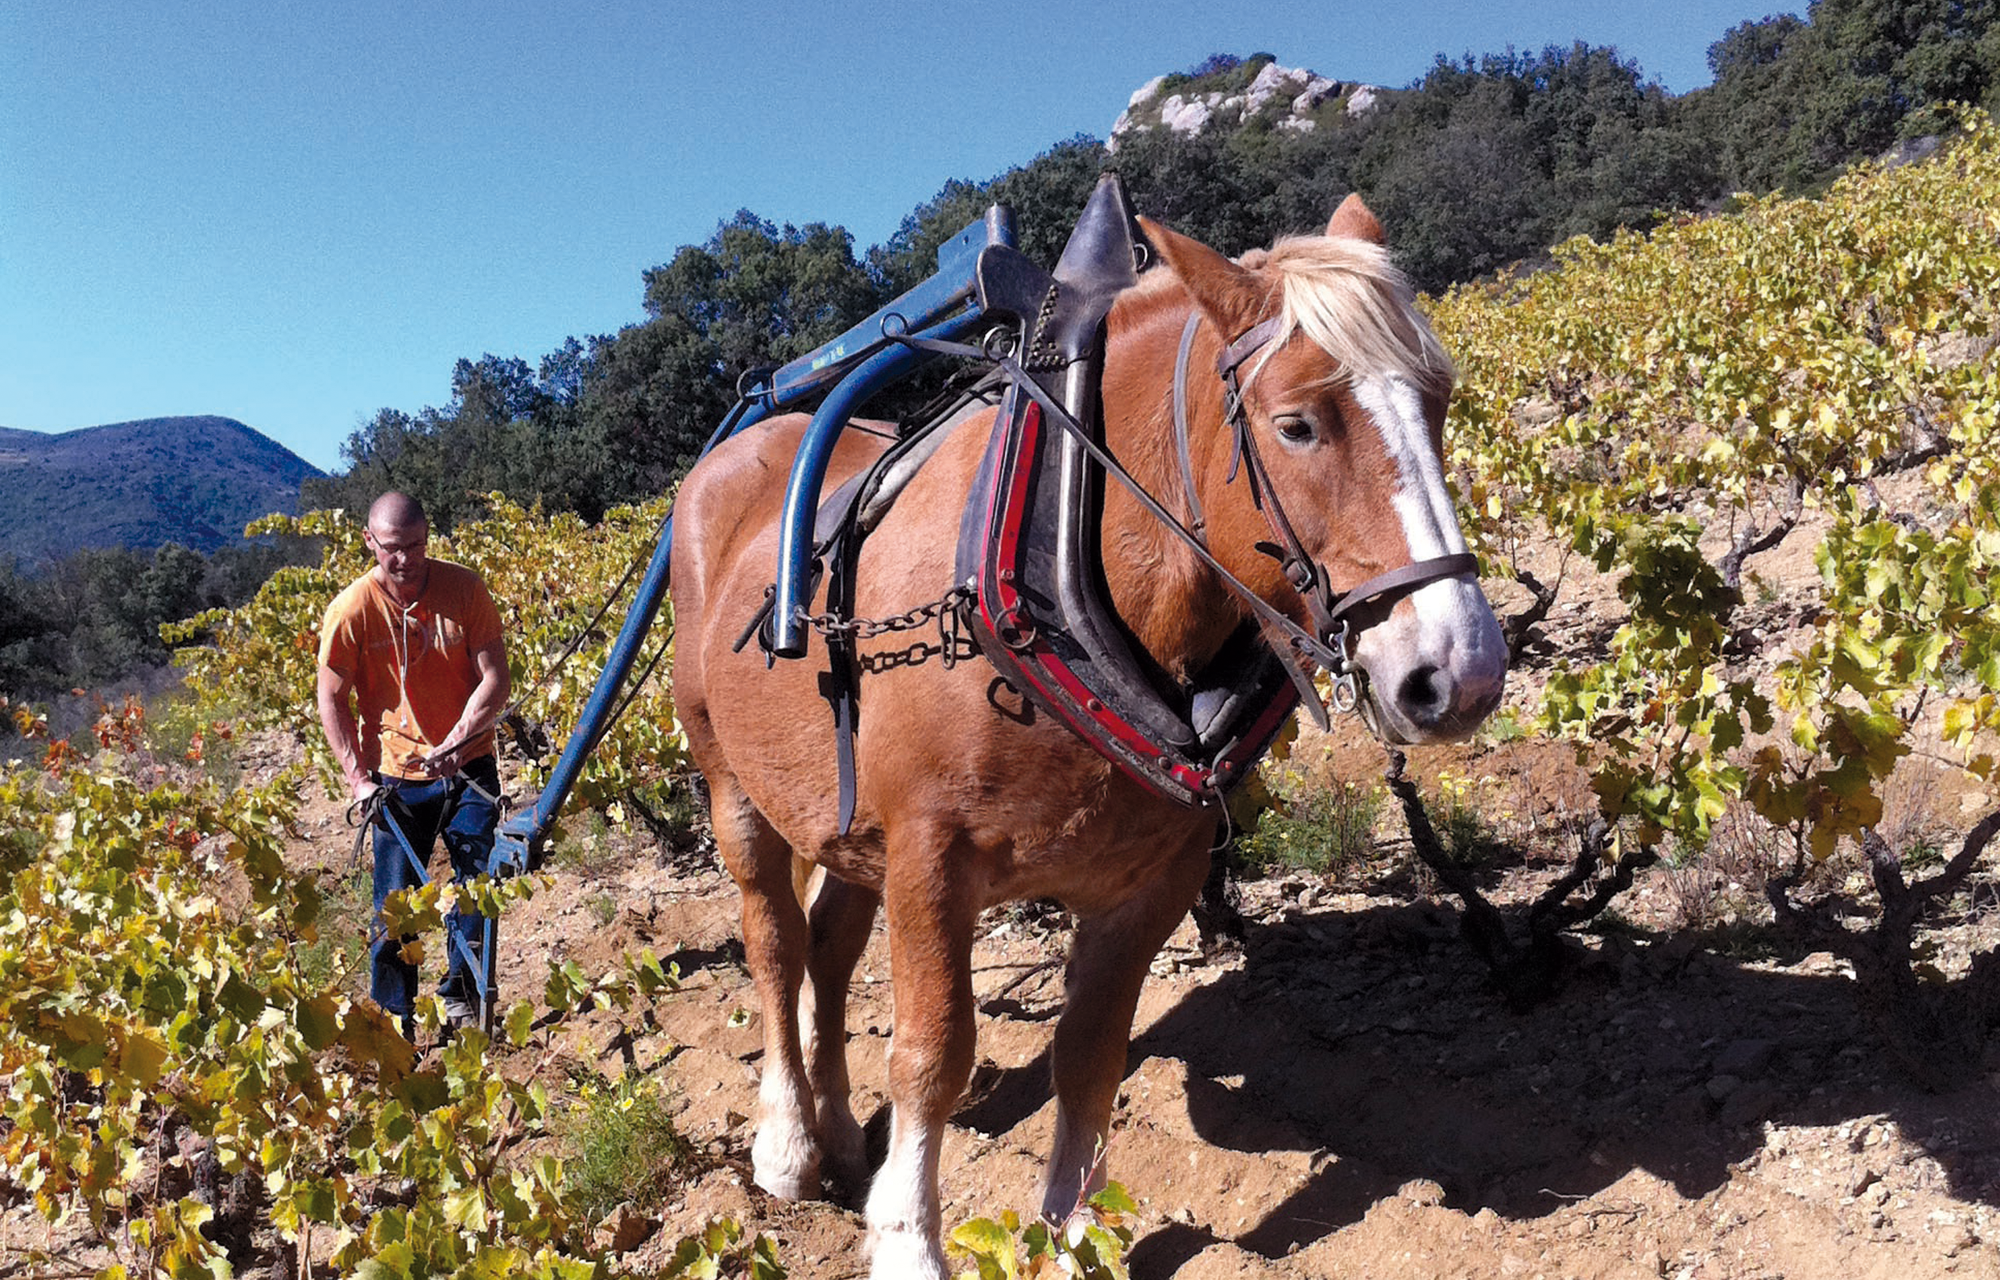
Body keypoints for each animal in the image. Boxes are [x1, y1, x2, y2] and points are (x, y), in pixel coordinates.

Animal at [668, 195, 1504, 1272]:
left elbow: (1091, 1053)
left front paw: (1068, 1236)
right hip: (731, 782)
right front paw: (907, 1238)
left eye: (1437, 403)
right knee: (771, 940)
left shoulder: (1150, 880)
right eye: (1296, 424)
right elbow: (933, 1050)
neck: (1063, 552)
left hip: (844, 822)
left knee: (829, 948)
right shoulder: (929, 856)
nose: (1459, 671)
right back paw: (785, 1142)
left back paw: (841, 1129)